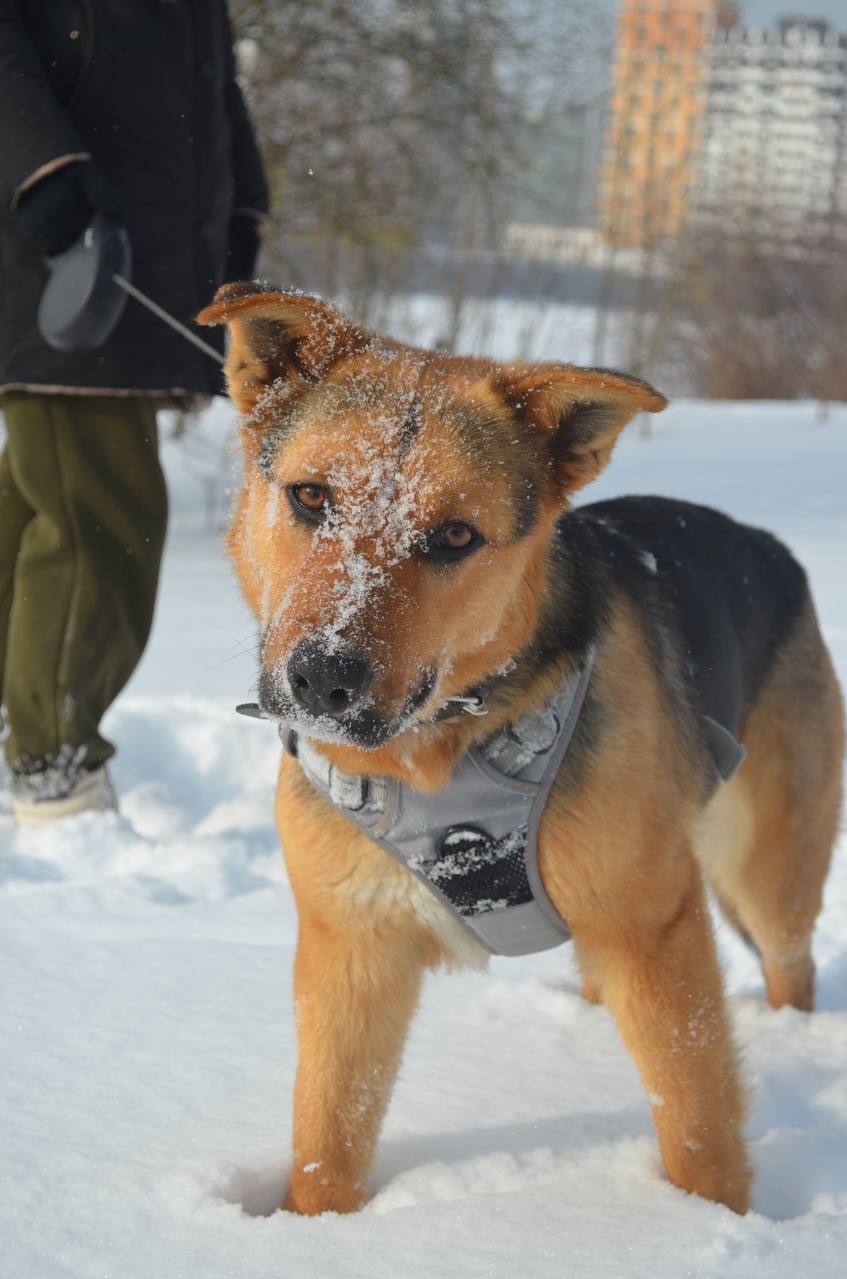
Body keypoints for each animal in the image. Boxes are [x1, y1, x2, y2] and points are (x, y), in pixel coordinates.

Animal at [197, 285, 844, 1212]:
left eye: (454, 537)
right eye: (312, 497)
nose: (324, 678)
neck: (440, 751)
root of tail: (770, 545)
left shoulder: (652, 930)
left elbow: (696, 1122)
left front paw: (710, 1220)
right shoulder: (352, 950)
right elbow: (328, 1132)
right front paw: (313, 1227)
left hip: (766, 868)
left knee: (789, 961)